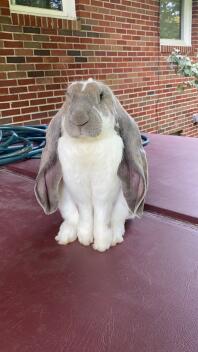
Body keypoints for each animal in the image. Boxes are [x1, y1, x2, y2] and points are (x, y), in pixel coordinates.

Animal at [34, 78, 148, 252]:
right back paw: (64, 237)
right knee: (72, 219)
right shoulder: (79, 190)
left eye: (101, 95)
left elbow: (102, 215)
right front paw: (85, 239)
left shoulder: (104, 190)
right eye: (68, 96)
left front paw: (101, 245)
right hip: (65, 203)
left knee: (117, 220)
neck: (87, 144)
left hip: (123, 206)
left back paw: (114, 237)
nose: (79, 118)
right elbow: (85, 212)